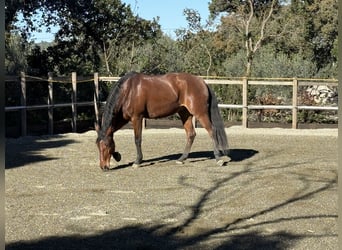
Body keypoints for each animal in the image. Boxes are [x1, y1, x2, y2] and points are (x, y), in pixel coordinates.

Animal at [95, 71, 230, 171]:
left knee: (212, 131)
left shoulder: (137, 117)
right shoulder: (124, 118)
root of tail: (202, 82)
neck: (128, 90)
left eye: (106, 146)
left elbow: (137, 140)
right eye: (97, 146)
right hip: (184, 113)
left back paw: (218, 159)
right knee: (191, 134)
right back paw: (181, 159)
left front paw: (137, 161)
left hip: (200, 113)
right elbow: (113, 132)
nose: (103, 167)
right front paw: (117, 156)